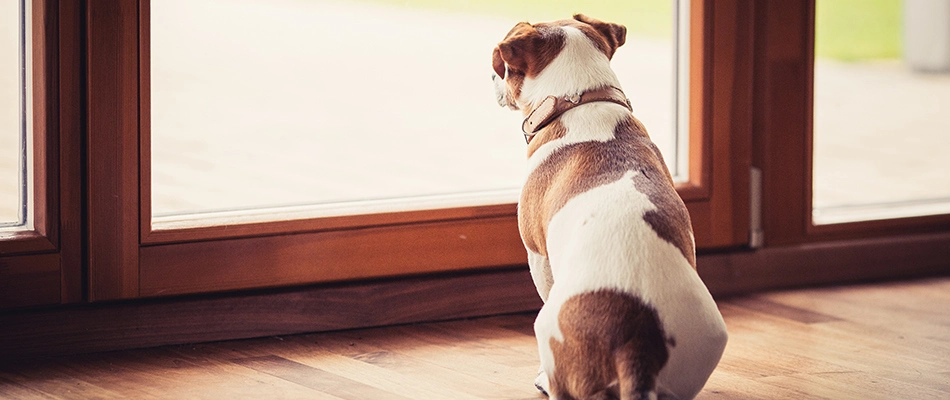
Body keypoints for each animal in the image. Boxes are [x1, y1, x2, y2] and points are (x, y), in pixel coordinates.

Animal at [490, 14, 728, 398]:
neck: (581, 100)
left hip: (549, 329)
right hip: (703, 347)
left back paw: (545, 382)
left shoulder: (538, 255)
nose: (491, 79)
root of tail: (637, 342)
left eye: (502, 67)